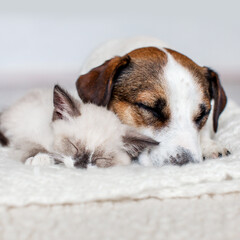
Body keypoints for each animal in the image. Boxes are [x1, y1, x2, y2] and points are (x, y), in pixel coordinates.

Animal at [0, 85, 158, 168]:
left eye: (100, 158)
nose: (80, 165)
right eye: (74, 146)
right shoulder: (28, 136)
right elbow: (34, 148)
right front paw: (40, 159)